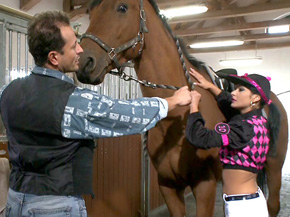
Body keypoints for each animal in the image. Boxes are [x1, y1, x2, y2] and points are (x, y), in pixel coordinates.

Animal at [76, 0, 288, 216]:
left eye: (122, 8)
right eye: (90, 13)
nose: (84, 62)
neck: (177, 121)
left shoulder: (205, 185)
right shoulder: (168, 185)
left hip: (274, 166)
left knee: (272, 204)